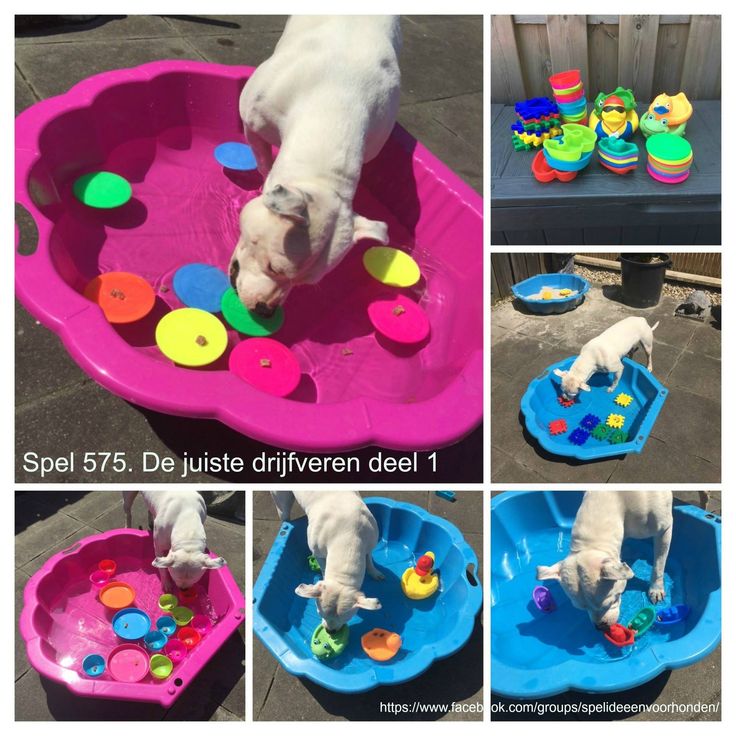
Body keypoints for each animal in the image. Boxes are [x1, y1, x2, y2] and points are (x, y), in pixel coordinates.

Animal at [272, 488, 386, 632]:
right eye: (320, 613)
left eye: (346, 618)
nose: (330, 631)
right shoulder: (318, 554)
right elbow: (323, 567)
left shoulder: (370, 543)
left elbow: (369, 558)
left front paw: (374, 572)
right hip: (281, 500)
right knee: (284, 512)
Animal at [536, 492, 672, 628]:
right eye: (581, 608)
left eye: (610, 602)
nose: (600, 627)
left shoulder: (664, 529)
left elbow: (659, 563)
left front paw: (656, 588)